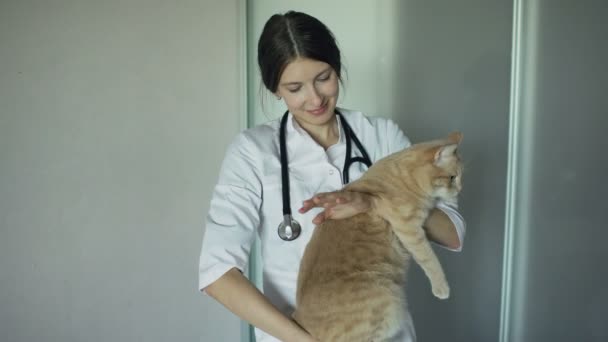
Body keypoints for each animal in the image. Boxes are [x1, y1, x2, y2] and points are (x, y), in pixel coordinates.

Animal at [292, 132, 464, 342]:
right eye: (452, 177)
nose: (460, 189)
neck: (405, 178)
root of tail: (298, 318)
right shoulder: (409, 228)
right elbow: (430, 260)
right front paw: (442, 288)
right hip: (390, 303)